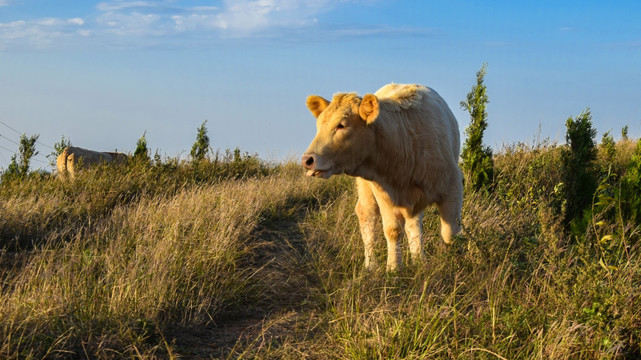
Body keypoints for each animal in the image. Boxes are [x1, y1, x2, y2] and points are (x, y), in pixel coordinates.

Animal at [300, 83, 460, 270]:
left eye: (342, 125)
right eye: (319, 125)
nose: (307, 160)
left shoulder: (453, 184)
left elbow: (450, 234)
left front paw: (455, 263)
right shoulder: (383, 192)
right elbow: (392, 230)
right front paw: (393, 267)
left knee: (413, 223)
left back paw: (419, 260)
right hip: (366, 189)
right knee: (367, 216)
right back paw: (371, 265)